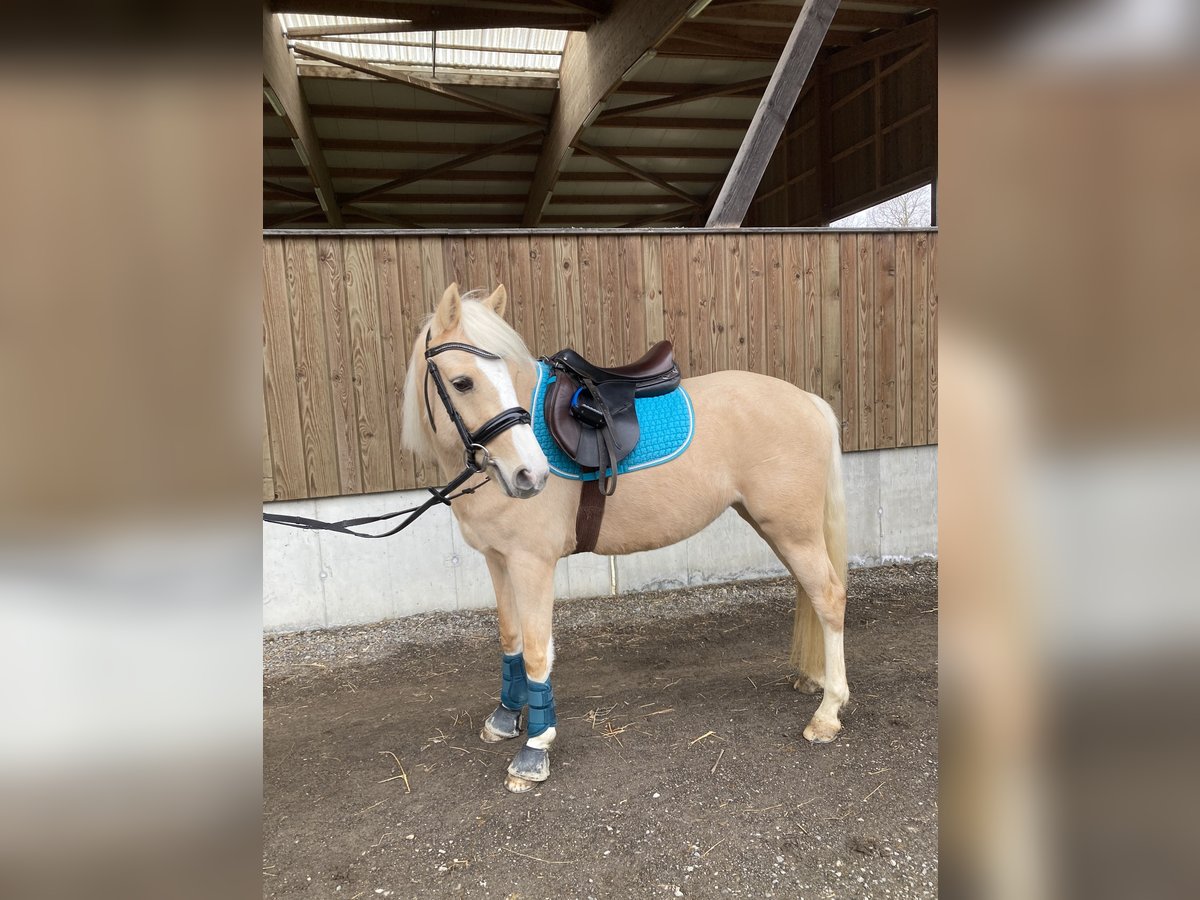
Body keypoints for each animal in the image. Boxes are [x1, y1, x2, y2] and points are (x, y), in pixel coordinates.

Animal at [405, 283, 854, 796]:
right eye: (463, 383)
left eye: (501, 376)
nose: (529, 475)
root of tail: (807, 400)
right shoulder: (498, 560)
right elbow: (511, 637)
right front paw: (505, 717)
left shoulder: (531, 563)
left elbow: (538, 651)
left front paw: (534, 749)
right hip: (780, 529)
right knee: (811, 594)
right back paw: (814, 679)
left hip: (792, 530)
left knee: (828, 597)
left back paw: (827, 713)